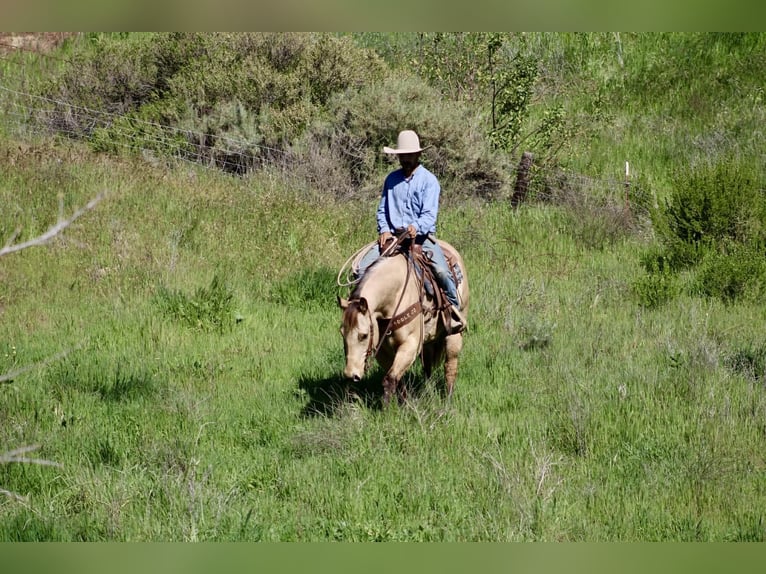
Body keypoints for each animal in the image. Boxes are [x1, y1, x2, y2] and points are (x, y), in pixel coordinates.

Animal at [338, 238, 469, 406]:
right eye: (342, 333)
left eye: (364, 335)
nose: (351, 375)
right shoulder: (382, 350)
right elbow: (397, 379)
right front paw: (405, 404)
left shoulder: (410, 344)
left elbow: (390, 379)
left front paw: (387, 409)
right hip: (428, 339)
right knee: (427, 366)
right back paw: (428, 392)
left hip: (454, 334)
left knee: (450, 366)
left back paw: (448, 401)